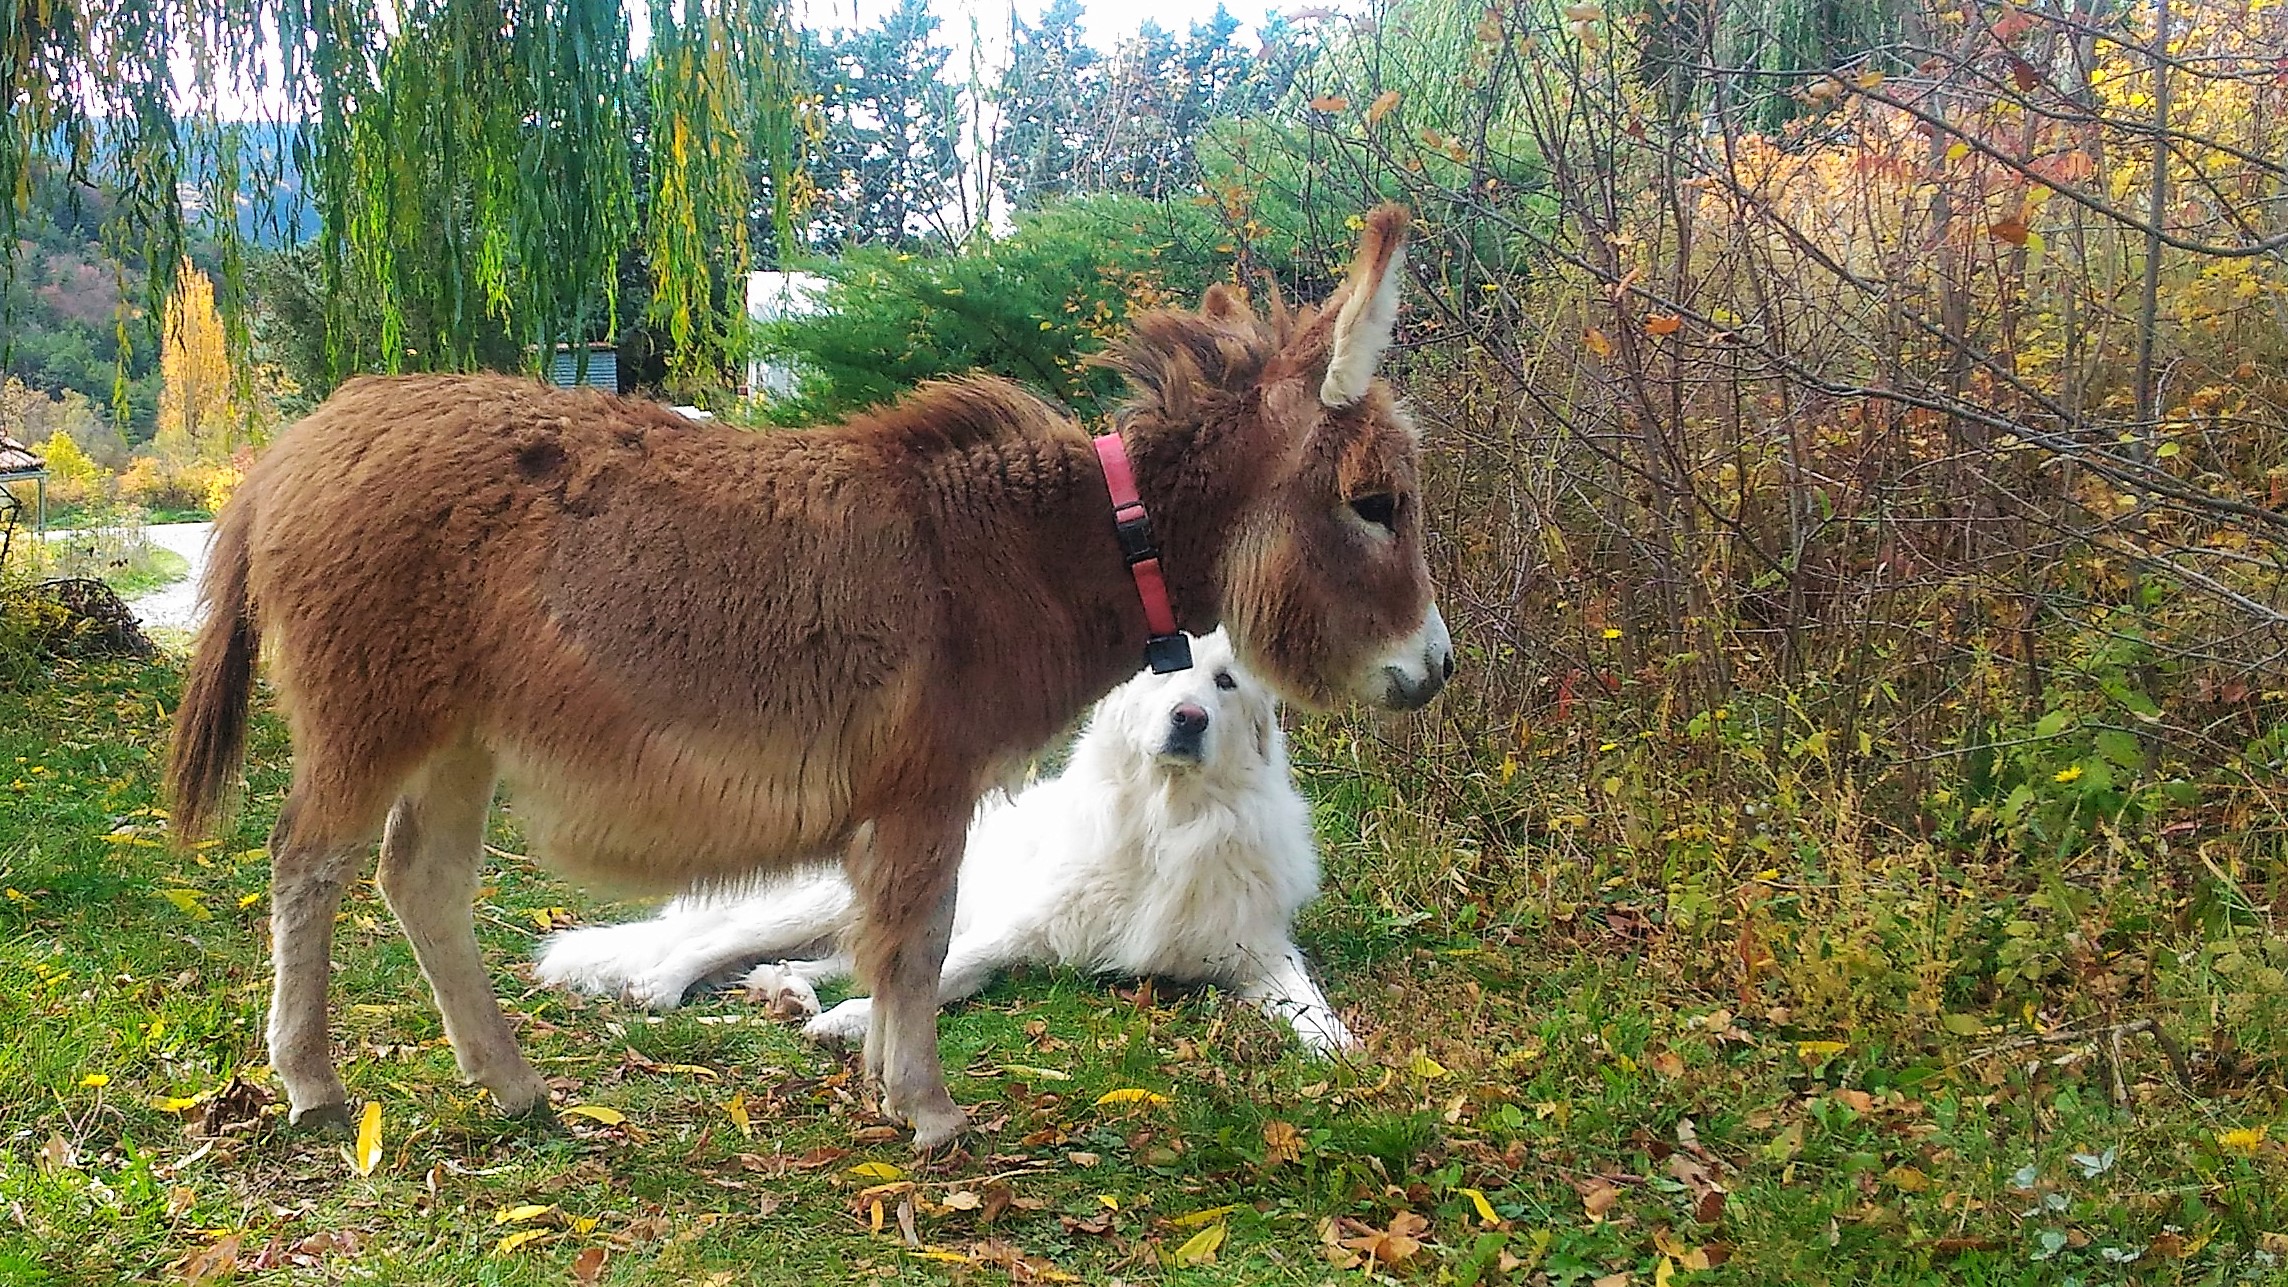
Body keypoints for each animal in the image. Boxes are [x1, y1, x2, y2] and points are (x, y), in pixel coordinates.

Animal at [530, 627, 1354, 1053]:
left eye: (1224, 683)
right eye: (1165, 673)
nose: (1188, 718)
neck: (1166, 821)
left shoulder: (1257, 948)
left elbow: (1308, 1001)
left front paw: (1340, 1048)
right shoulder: (1011, 929)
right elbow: (951, 975)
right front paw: (850, 1025)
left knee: (805, 961)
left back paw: (788, 991)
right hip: (818, 901)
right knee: (711, 940)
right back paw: (664, 986)